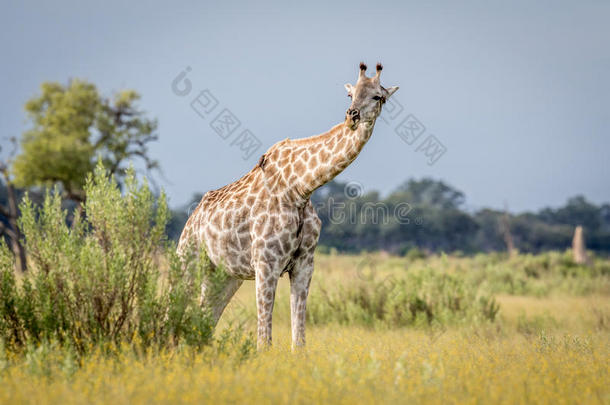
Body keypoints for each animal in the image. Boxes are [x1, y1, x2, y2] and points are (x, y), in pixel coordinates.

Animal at [177, 62, 394, 348]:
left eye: (378, 97)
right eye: (350, 94)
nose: (352, 116)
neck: (300, 188)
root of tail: (193, 218)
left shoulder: (304, 264)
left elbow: (299, 340)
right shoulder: (265, 263)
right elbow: (263, 341)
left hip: (225, 276)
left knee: (205, 318)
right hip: (188, 261)